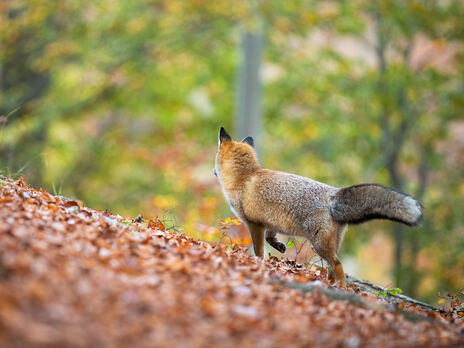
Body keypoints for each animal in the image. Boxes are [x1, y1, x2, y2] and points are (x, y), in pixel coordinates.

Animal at [215, 125, 424, 288]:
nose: (213, 171)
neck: (245, 177)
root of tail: (333, 193)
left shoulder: (254, 223)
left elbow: (258, 250)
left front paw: (258, 264)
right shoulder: (269, 222)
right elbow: (270, 237)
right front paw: (279, 246)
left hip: (319, 244)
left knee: (338, 266)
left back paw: (341, 288)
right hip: (330, 244)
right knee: (332, 268)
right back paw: (329, 284)